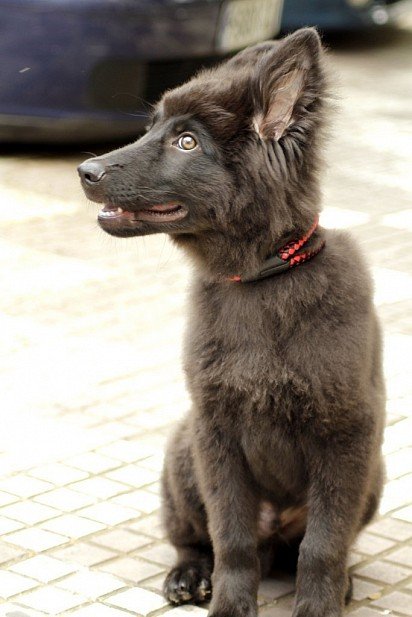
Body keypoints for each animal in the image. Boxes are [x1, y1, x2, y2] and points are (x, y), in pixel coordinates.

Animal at [78, 28, 386, 616]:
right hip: (183, 449)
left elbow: (324, 544)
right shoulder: (216, 432)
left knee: (306, 546)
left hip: (373, 471)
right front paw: (228, 603)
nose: (86, 172)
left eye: (187, 142)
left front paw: (320, 602)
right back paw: (189, 574)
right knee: (194, 536)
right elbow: (232, 539)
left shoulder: (347, 434)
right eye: (153, 127)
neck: (260, 279)